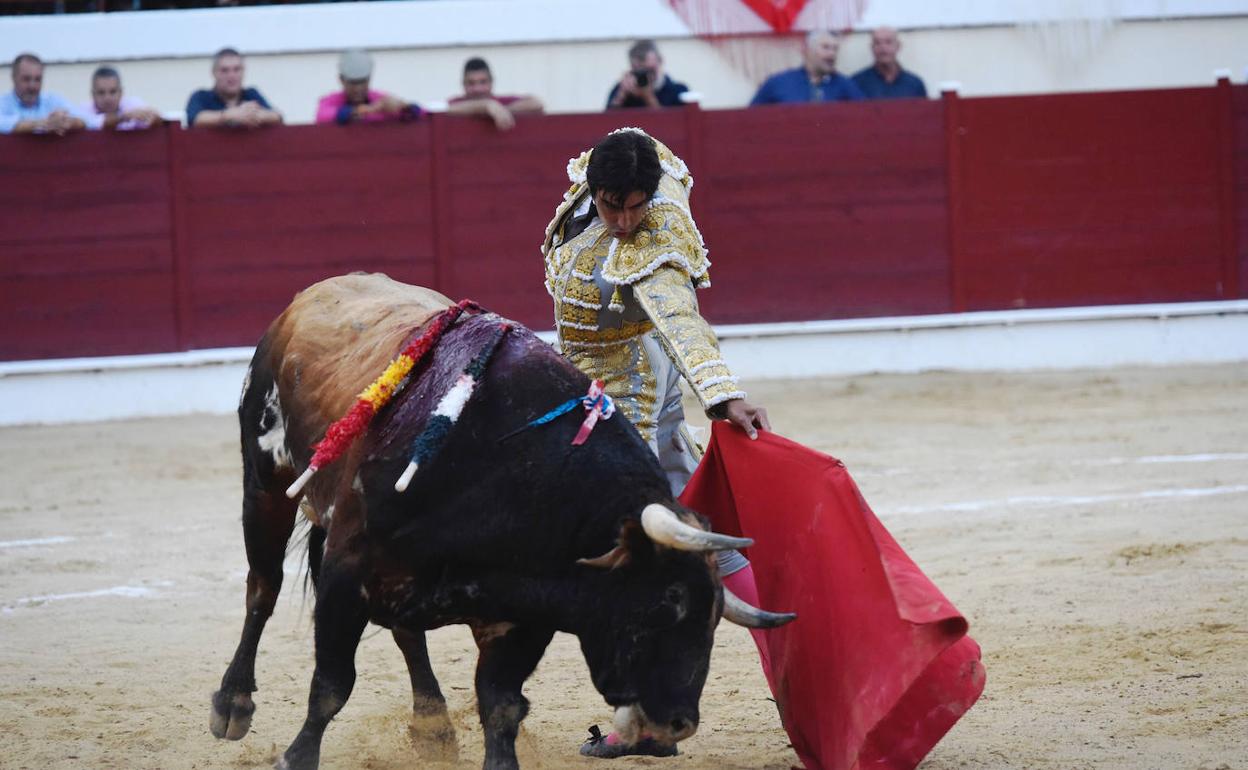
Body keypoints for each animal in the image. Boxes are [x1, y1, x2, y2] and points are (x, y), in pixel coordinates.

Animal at [204, 274, 788, 768]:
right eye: (664, 605)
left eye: (712, 621)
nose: (679, 723)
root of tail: (308, 297)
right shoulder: (347, 572)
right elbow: (331, 684)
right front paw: (296, 757)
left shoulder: (521, 616)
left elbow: (502, 706)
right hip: (266, 481)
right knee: (263, 587)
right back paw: (232, 704)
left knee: (404, 631)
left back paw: (433, 725)